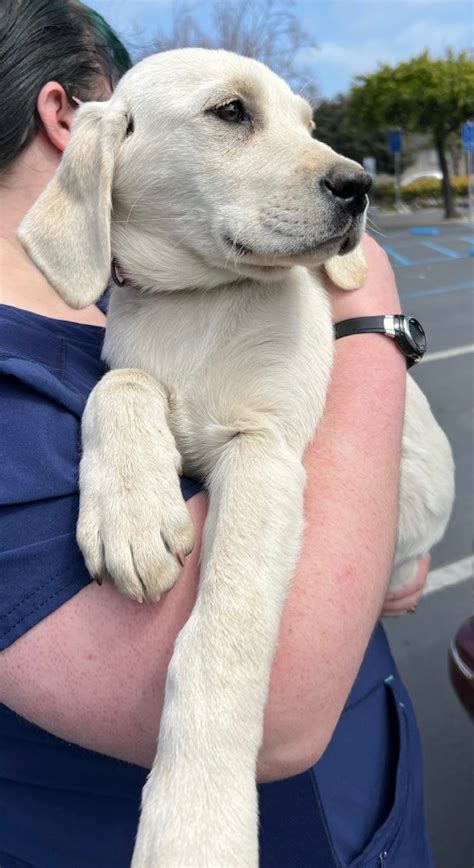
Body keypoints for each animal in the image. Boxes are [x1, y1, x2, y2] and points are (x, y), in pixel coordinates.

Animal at [20, 49, 454, 868]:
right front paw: (131, 512)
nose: (360, 185)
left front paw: (195, 824)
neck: (200, 303)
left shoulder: (266, 455)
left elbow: (221, 637)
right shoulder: (134, 364)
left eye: (311, 125)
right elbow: (119, 384)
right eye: (231, 113)